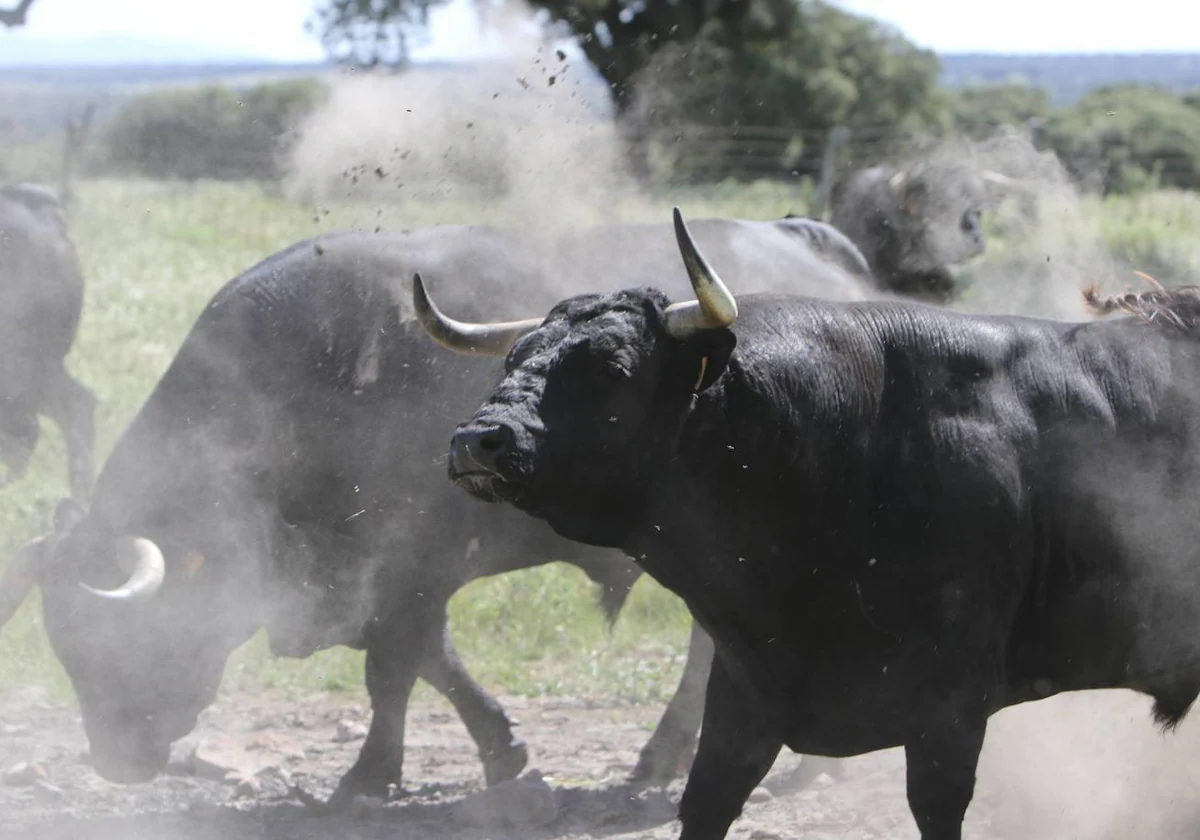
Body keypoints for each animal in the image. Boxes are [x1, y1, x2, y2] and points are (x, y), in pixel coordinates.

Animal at [0, 216, 883, 806]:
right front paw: (502, 752)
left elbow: (393, 669)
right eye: (62, 643)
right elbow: (435, 661)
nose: (116, 763)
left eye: (115, 641)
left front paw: (367, 776)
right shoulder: (382, 581)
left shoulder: (407, 566)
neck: (308, 379)